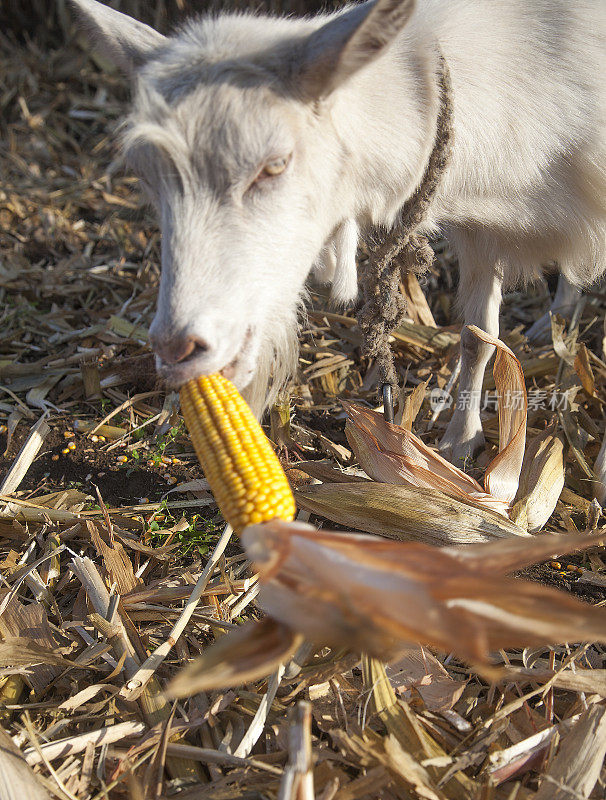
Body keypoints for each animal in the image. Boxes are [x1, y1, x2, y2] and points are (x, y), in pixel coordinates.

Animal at [72, 0, 606, 484]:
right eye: (145, 175)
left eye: (276, 164)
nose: (177, 346)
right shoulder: (480, 234)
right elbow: (477, 338)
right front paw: (460, 441)